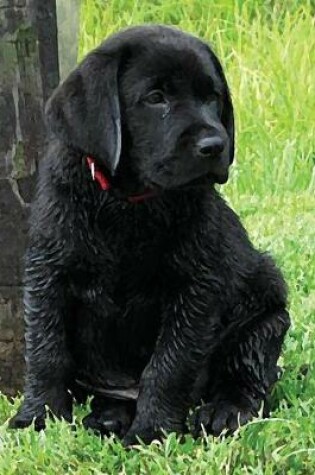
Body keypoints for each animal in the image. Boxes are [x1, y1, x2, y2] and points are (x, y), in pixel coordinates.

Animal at [9, 26, 292, 444]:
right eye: (156, 98)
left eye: (212, 98)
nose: (215, 146)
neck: (128, 204)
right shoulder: (48, 271)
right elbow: (46, 351)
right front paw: (37, 417)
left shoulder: (195, 288)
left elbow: (169, 365)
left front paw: (153, 431)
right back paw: (109, 416)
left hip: (267, 313)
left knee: (247, 371)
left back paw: (225, 410)